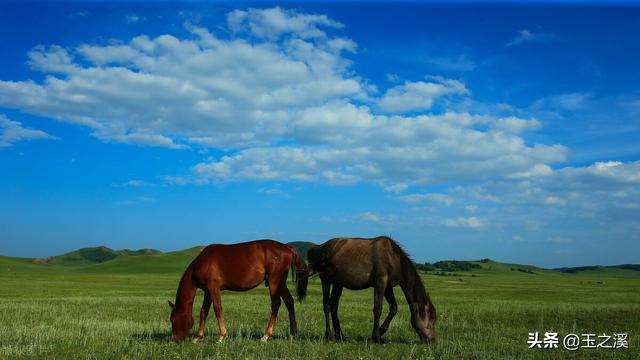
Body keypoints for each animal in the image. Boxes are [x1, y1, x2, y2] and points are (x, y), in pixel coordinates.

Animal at [168, 240, 308, 342]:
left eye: (172, 320)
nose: (175, 340)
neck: (203, 261)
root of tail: (287, 247)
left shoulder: (213, 287)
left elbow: (218, 309)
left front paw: (222, 336)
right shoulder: (208, 290)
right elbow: (204, 311)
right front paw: (198, 337)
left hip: (274, 282)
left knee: (276, 304)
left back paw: (266, 335)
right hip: (280, 283)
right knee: (289, 301)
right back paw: (293, 333)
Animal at [308, 236, 438, 344]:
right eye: (431, 318)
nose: (432, 340)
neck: (393, 258)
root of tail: (318, 247)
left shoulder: (388, 286)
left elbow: (393, 308)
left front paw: (380, 331)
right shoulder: (380, 283)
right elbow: (378, 309)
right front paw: (377, 337)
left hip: (338, 283)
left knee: (334, 306)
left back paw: (340, 336)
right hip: (325, 278)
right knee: (327, 305)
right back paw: (328, 336)